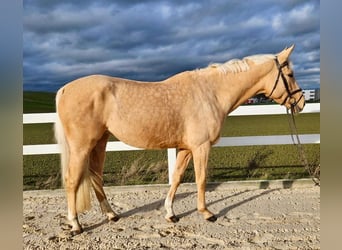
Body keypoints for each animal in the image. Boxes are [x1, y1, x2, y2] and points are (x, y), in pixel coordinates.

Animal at [55, 44, 304, 234]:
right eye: (290, 75)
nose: (300, 103)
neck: (211, 93)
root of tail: (64, 89)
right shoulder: (201, 147)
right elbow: (201, 179)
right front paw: (206, 213)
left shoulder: (186, 148)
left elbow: (176, 178)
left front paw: (170, 214)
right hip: (81, 147)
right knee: (72, 180)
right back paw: (76, 225)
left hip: (100, 142)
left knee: (96, 177)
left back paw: (111, 215)